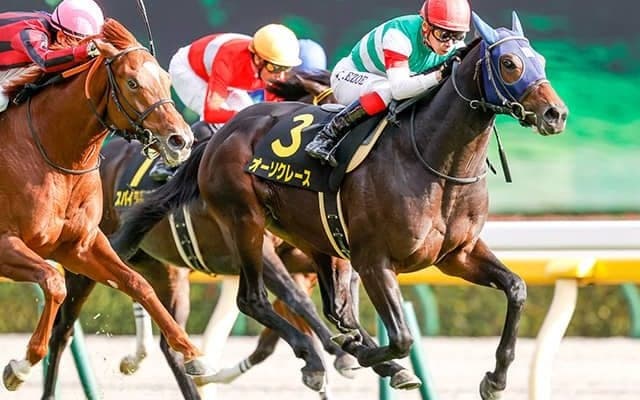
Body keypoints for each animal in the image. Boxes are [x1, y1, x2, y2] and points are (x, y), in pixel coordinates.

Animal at [0, 18, 220, 391]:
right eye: (132, 82)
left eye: (166, 80)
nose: (181, 140)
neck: (50, 153)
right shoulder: (6, 245)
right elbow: (53, 283)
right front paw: (21, 366)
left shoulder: (79, 246)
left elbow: (137, 284)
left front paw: (193, 354)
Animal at [42, 69, 363, 399]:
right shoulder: (256, 246)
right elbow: (297, 299)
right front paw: (342, 355)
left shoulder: (303, 258)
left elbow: (327, 296)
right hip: (84, 262)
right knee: (62, 330)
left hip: (163, 270)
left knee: (170, 341)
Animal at [107, 12, 569, 398]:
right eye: (509, 63)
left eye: (541, 60)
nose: (556, 114)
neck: (434, 163)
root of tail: (225, 134)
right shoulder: (373, 259)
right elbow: (397, 335)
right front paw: (359, 357)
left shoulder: (457, 255)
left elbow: (516, 288)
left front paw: (496, 378)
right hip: (246, 223)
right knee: (252, 301)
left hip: (301, 240)